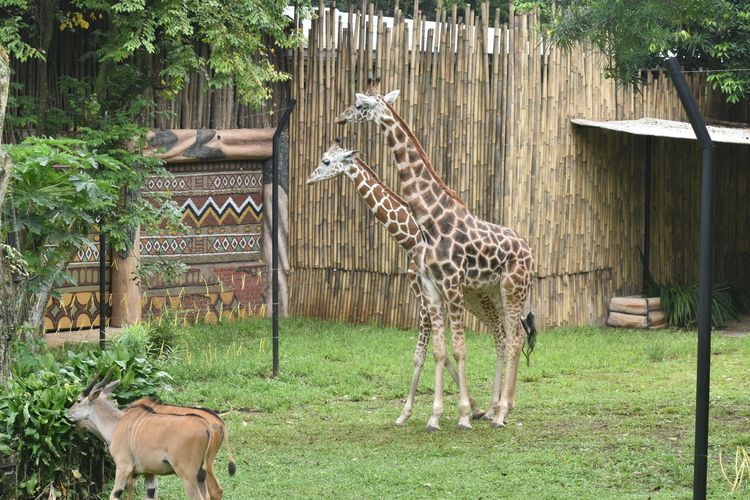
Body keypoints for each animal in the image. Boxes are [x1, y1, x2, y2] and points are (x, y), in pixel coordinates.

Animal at [67, 374, 214, 498]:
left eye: (78, 400)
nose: (68, 413)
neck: (116, 424)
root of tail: (206, 426)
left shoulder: (123, 467)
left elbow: (114, 495)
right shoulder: (149, 473)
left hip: (187, 475)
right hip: (201, 474)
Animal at [306, 141, 488, 426]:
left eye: (326, 161)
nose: (309, 178)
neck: (409, 237)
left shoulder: (423, 297)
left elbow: (422, 353)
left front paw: (407, 412)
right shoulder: (430, 296)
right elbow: (441, 350)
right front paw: (472, 407)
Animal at [338, 78, 536, 430]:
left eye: (360, 105)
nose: (340, 119)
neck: (431, 219)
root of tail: (531, 252)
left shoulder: (451, 284)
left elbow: (458, 348)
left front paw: (464, 416)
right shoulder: (431, 286)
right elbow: (439, 351)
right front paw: (435, 416)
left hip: (512, 289)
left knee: (513, 340)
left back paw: (500, 414)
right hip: (499, 292)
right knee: (508, 337)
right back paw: (500, 408)